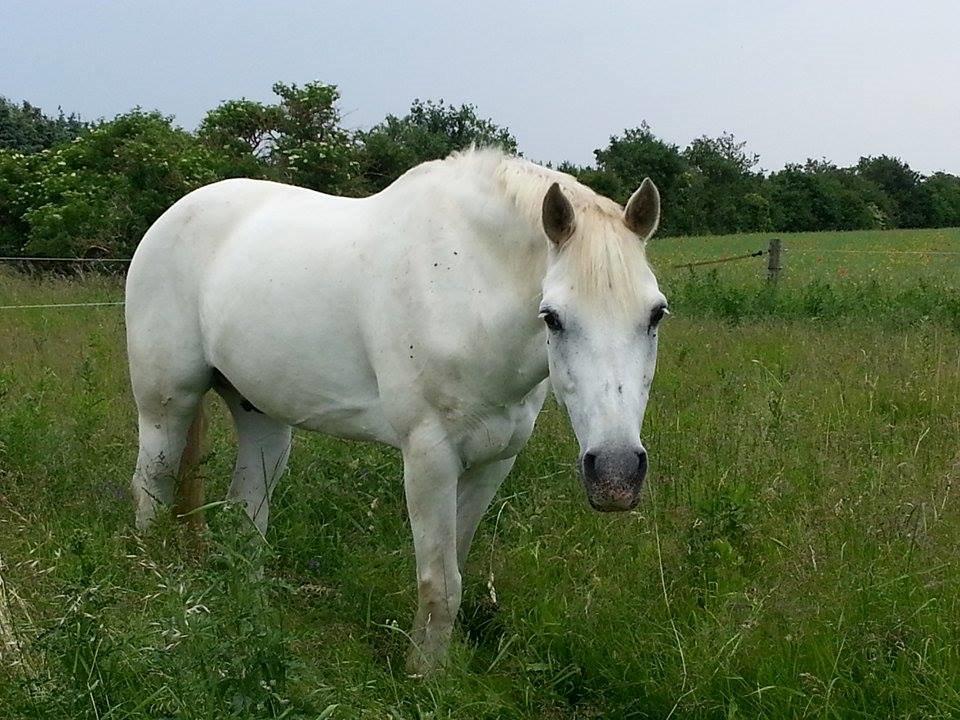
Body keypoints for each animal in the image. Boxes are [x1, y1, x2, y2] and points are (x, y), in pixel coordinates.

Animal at [122, 148, 668, 676]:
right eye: (552, 317)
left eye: (656, 314)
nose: (616, 474)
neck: (465, 289)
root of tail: (173, 215)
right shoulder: (429, 458)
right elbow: (440, 585)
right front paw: (420, 679)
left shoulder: (493, 462)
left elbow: (455, 569)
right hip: (166, 403)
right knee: (152, 485)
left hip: (261, 416)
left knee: (246, 512)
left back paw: (250, 613)